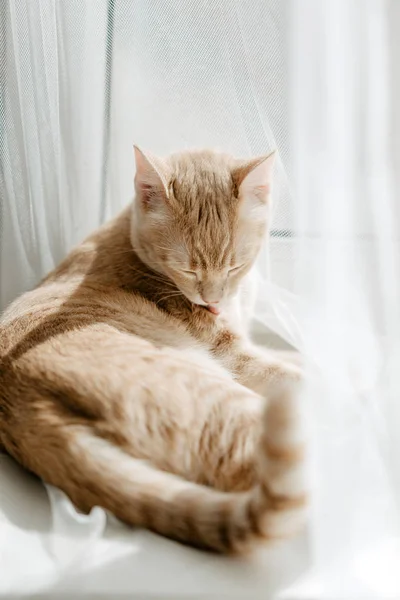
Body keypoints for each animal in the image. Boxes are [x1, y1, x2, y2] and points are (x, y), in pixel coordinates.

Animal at [0, 146, 306, 552]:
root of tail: (32, 411)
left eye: (235, 266)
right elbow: (300, 374)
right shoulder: (236, 357)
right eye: (188, 270)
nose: (213, 300)